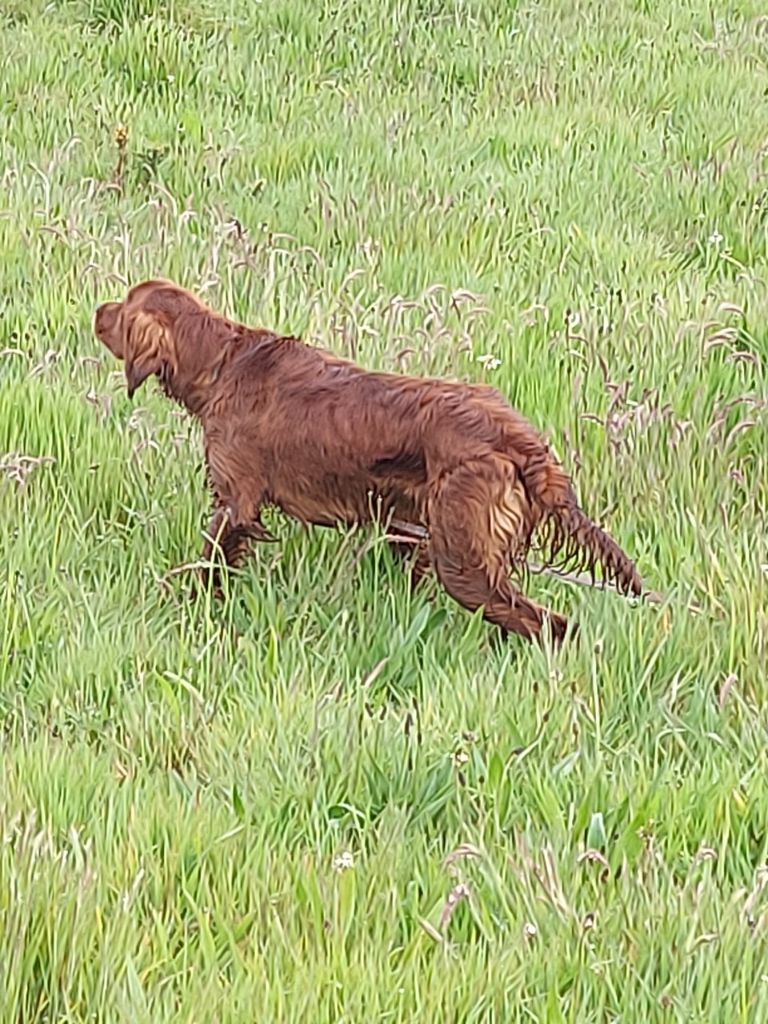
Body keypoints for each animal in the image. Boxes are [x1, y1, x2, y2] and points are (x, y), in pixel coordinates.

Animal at [93, 276, 638, 643]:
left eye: (121, 309)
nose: (97, 309)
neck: (221, 364)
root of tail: (515, 437)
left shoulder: (235, 502)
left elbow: (209, 564)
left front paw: (191, 606)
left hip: (464, 559)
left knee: (548, 623)